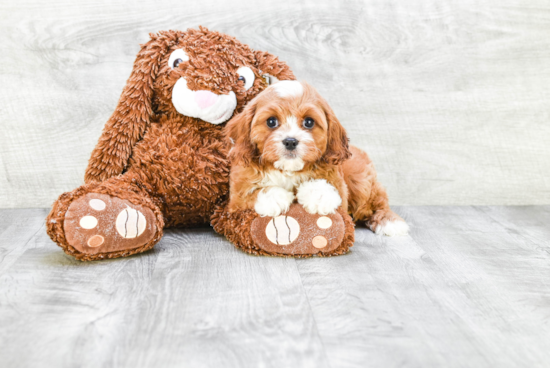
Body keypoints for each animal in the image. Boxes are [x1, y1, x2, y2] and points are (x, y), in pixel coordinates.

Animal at [224, 80, 410, 236]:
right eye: (271, 122)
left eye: (309, 122)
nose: (290, 141)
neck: (288, 170)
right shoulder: (235, 198)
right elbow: (249, 195)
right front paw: (275, 197)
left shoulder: (338, 183)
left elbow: (332, 192)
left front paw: (318, 195)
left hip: (361, 180)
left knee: (377, 201)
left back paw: (389, 221)